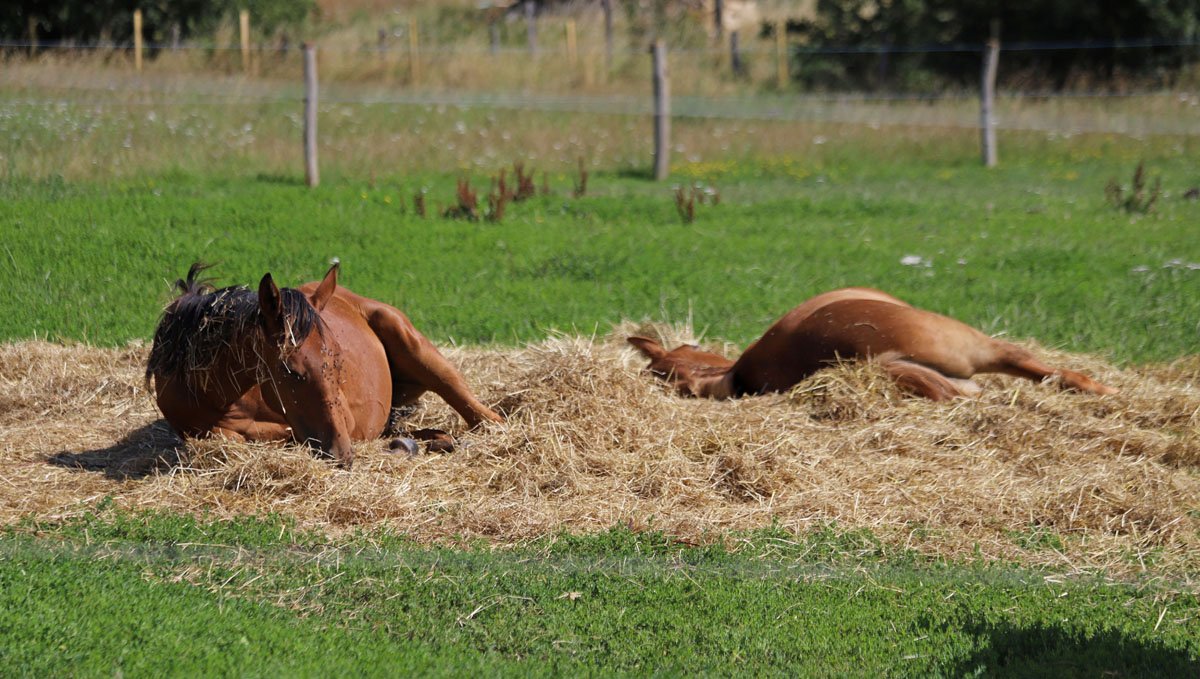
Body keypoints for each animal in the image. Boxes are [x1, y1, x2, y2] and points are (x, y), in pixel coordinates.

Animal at [146, 262, 503, 467]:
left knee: (482, 415)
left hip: (414, 346)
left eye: (338, 361)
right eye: (290, 371)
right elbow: (229, 437)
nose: (341, 454)